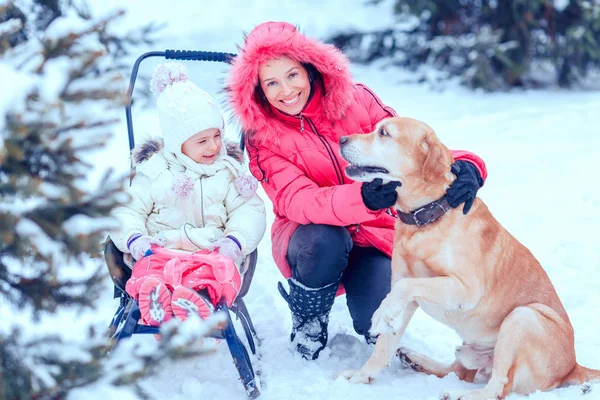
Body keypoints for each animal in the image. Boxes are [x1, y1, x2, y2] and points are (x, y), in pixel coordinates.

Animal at [338, 117, 596, 398]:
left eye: (384, 133)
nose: (341, 140)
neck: (425, 218)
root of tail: (572, 367)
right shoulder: (405, 292)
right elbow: (383, 345)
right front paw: (362, 375)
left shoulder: (465, 289)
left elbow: (404, 289)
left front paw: (381, 314)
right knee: (459, 371)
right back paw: (415, 358)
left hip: (525, 316)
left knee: (498, 385)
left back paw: (462, 394)